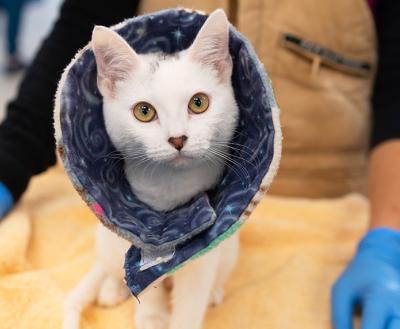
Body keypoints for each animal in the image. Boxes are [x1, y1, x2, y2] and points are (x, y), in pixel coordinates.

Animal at [61, 9, 239, 328]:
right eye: (144, 111)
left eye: (199, 103)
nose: (177, 138)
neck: (170, 188)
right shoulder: (132, 237)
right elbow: (145, 281)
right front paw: (152, 318)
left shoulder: (205, 253)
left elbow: (191, 301)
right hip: (106, 239)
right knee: (109, 266)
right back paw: (111, 290)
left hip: (230, 249)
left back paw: (215, 293)